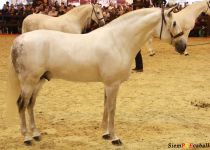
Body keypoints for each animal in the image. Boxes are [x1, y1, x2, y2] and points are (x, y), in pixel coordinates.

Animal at [7, 6, 186, 145]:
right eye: (174, 23)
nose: (183, 46)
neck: (118, 41)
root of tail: (19, 40)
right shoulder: (113, 84)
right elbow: (112, 108)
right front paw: (114, 137)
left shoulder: (108, 84)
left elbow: (106, 106)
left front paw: (105, 134)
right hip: (28, 82)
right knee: (21, 104)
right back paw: (27, 138)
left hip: (39, 81)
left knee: (30, 104)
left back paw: (36, 134)